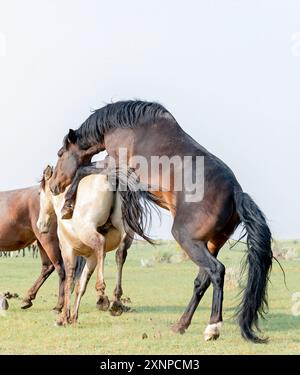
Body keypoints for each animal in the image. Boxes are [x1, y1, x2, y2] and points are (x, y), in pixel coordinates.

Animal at [37, 165, 155, 326]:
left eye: (39, 193)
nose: (40, 225)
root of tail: (111, 179)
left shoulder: (68, 251)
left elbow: (69, 282)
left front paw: (63, 318)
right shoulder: (91, 257)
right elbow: (81, 286)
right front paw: (73, 317)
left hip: (89, 231)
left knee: (100, 242)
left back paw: (101, 296)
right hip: (126, 231)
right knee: (120, 254)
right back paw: (116, 301)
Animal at [49, 100, 274, 344]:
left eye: (61, 153)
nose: (53, 186)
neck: (124, 124)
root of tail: (235, 192)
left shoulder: (113, 162)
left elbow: (83, 169)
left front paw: (68, 205)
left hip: (187, 239)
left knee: (216, 271)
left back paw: (212, 327)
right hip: (211, 243)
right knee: (202, 280)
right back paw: (181, 325)